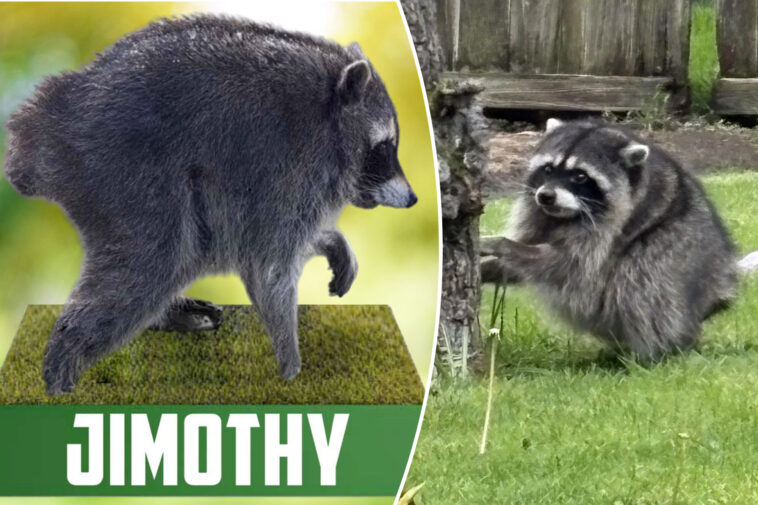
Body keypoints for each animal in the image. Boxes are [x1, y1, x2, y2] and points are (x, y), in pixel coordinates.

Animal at [3, 14, 417, 394]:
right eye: (384, 147)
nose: (413, 198)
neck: (328, 111)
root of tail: (51, 119)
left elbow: (284, 243)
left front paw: (332, 241)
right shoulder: (286, 168)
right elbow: (269, 266)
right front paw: (291, 367)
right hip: (127, 172)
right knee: (150, 261)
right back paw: (62, 364)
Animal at [482, 118, 738, 361]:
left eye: (580, 176)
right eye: (548, 169)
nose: (546, 196)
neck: (566, 216)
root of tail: (719, 290)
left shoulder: (608, 229)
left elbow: (566, 266)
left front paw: (503, 245)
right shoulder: (538, 215)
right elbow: (524, 259)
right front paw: (490, 267)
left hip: (680, 254)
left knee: (642, 276)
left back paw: (655, 352)